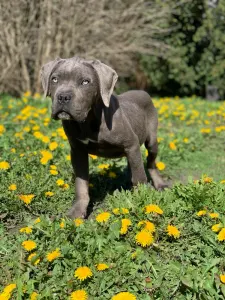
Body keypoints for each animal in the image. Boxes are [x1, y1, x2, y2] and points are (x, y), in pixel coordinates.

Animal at [40, 56, 168, 218]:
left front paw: (143, 201)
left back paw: (160, 184)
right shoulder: (77, 151)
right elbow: (81, 183)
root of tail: (142, 91)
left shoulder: (131, 143)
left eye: (85, 82)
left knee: (150, 163)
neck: (88, 121)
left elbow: (139, 177)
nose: (63, 97)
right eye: (55, 79)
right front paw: (77, 211)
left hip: (151, 140)